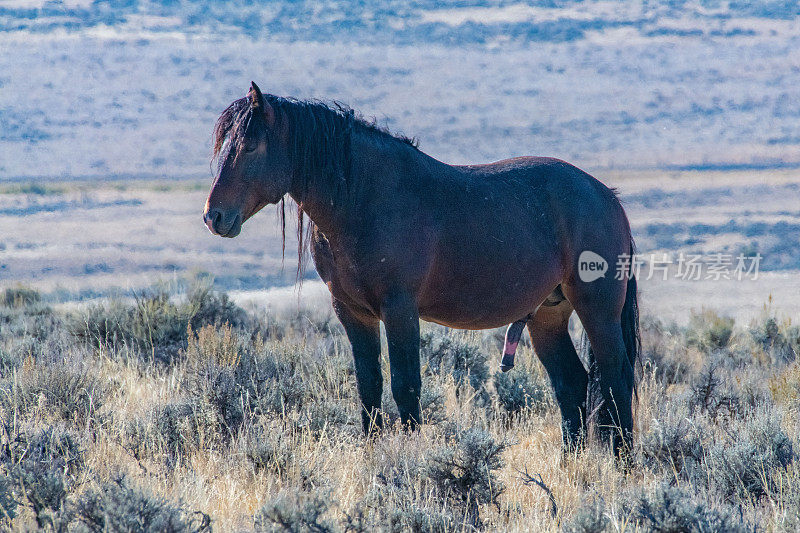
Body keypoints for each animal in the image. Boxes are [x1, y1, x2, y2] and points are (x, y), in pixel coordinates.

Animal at [203, 82, 640, 454]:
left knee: (615, 377)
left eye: (250, 146)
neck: (365, 200)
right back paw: (572, 462)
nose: (214, 216)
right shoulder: (352, 312)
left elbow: (406, 387)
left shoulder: (399, 310)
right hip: (548, 316)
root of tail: (608, 197)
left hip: (597, 309)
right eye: (223, 145)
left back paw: (623, 462)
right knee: (572, 384)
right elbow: (369, 387)